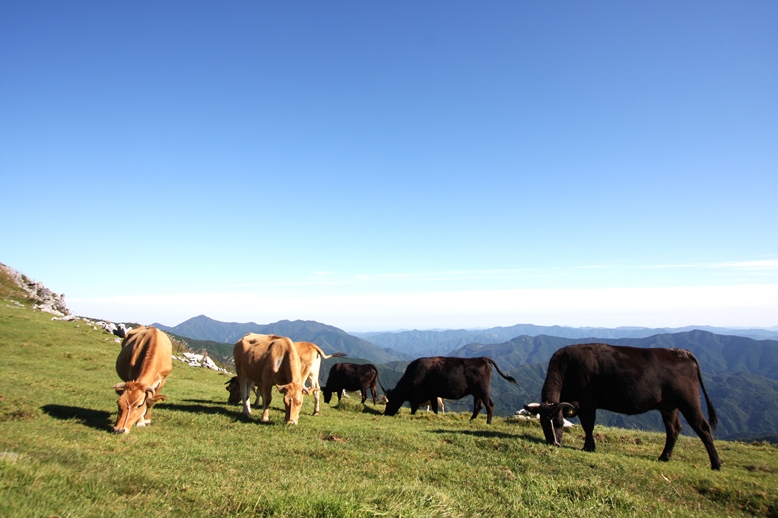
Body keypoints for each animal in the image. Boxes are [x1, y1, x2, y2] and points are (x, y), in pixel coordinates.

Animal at [382, 358, 516, 426]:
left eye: (390, 401)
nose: (385, 413)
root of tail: (482, 359)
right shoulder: (433, 394)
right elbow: (434, 408)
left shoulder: (418, 396)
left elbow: (414, 408)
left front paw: (412, 416)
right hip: (477, 393)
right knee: (478, 406)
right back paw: (471, 420)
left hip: (483, 390)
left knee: (489, 405)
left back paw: (488, 422)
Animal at [524, 346, 720, 472]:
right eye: (542, 424)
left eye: (559, 422)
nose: (554, 443)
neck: (567, 368)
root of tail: (681, 352)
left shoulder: (588, 402)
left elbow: (588, 425)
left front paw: (588, 447)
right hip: (669, 406)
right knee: (674, 429)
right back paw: (664, 457)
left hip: (688, 400)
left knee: (702, 427)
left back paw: (716, 464)